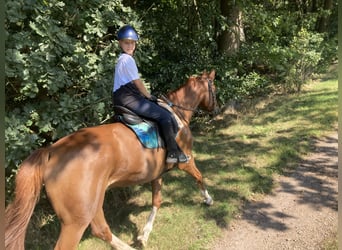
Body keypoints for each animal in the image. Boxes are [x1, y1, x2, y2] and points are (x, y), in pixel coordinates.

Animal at [5, 70, 218, 250]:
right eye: (213, 89)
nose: (215, 110)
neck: (177, 115)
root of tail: (52, 151)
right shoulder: (186, 160)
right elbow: (199, 176)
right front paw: (208, 199)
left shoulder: (156, 172)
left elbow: (156, 201)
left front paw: (144, 235)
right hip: (76, 220)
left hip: (92, 204)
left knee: (101, 230)